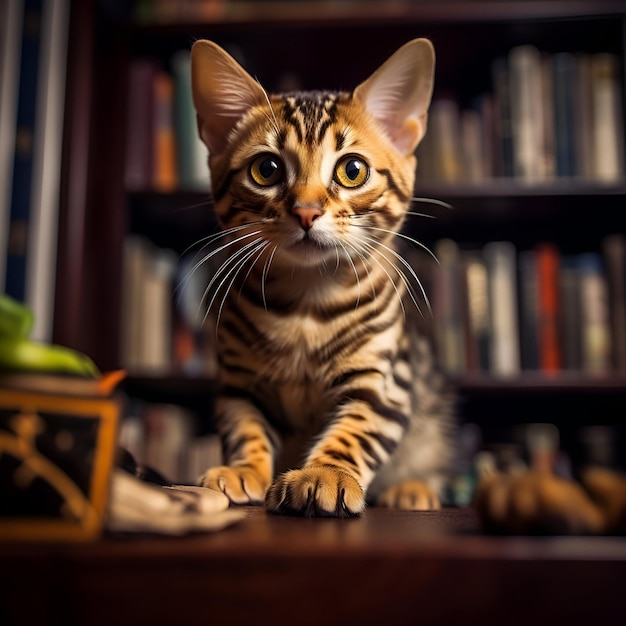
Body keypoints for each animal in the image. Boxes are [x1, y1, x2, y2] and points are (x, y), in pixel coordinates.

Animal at [190, 40, 454, 516]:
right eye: (267, 170)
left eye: (352, 170)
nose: (307, 211)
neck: (306, 303)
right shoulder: (239, 382)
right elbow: (244, 428)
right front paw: (243, 469)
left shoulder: (382, 382)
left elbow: (355, 433)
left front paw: (324, 474)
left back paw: (412, 489)